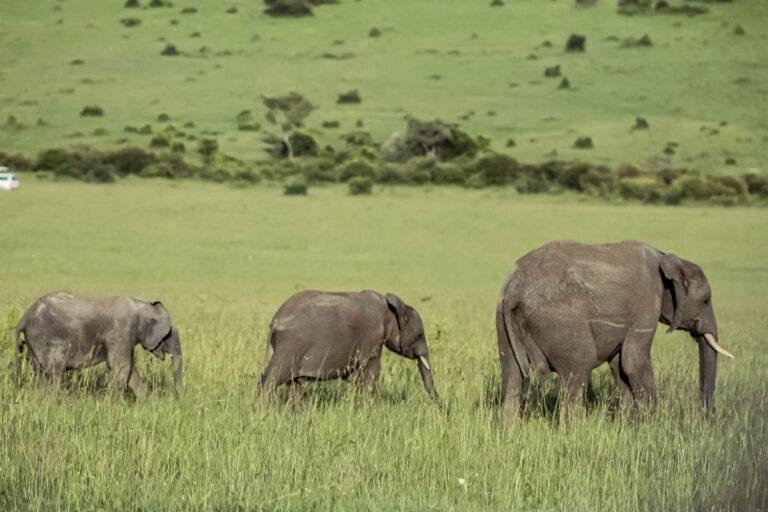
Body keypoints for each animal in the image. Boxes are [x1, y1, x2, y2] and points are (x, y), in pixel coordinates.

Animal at [15, 290, 184, 398]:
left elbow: (128, 368)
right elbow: (121, 366)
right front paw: (115, 405)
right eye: (169, 335)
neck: (142, 305)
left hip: (33, 342)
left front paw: (144, 402)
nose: (178, 398)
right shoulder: (122, 329)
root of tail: (24, 317)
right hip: (43, 338)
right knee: (54, 372)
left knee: (41, 374)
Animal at [260, 290, 440, 406]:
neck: (390, 308)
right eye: (419, 335)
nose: (443, 409)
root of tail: (274, 321)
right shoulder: (372, 337)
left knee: (293, 384)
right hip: (290, 346)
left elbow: (356, 377)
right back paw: (262, 412)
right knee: (271, 379)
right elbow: (372, 373)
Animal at [496, 238, 736, 418]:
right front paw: (650, 423)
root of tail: (516, 287)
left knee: (513, 377)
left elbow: (619, 365)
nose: (707, 416)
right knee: (576, 376)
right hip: (561, 322)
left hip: (502, 319)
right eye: (706, 300)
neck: (666, 258)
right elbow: (633, 361)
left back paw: (510, 433)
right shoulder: (647, 302)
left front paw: (626, 425)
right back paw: (573, 433)